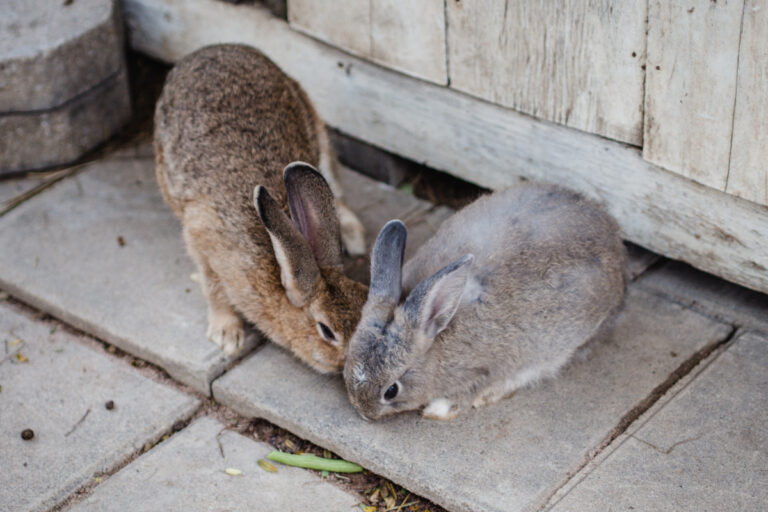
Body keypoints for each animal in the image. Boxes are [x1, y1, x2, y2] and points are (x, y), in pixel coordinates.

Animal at [154, 44, 368, 372]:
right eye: (327, 331)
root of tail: (213, 49)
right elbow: (212, 285)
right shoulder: (201, 234)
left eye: (364, 307)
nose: (354, 365)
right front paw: (227, 335)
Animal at [344, 184, 627, 420]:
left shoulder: (486, 369)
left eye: (391, 390)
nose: (363, 413)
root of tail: (614, 239)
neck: (437, 339)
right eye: (347, 361)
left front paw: (439, 409)